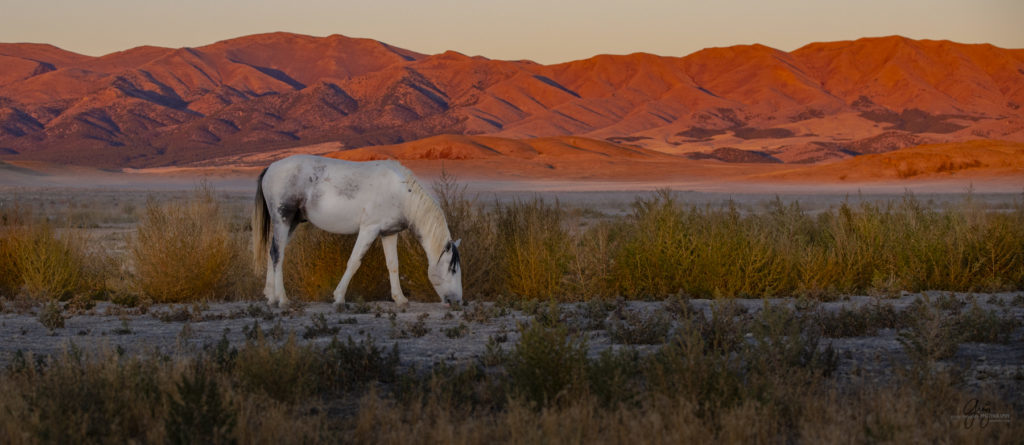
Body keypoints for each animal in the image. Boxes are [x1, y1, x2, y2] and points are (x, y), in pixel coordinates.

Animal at [251, 155, 464, 308]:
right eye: (452, 268)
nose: (458, 301)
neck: (402, 193)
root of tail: (271, 167)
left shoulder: (388, 233)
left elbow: (393, 265)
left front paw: (400, 298)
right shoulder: (369, 229)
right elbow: (354, 262)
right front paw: (339, 297)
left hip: (292, 223)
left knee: (272, 252)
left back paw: (270, 296)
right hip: (283, 220)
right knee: (278, 254)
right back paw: (282, 299)